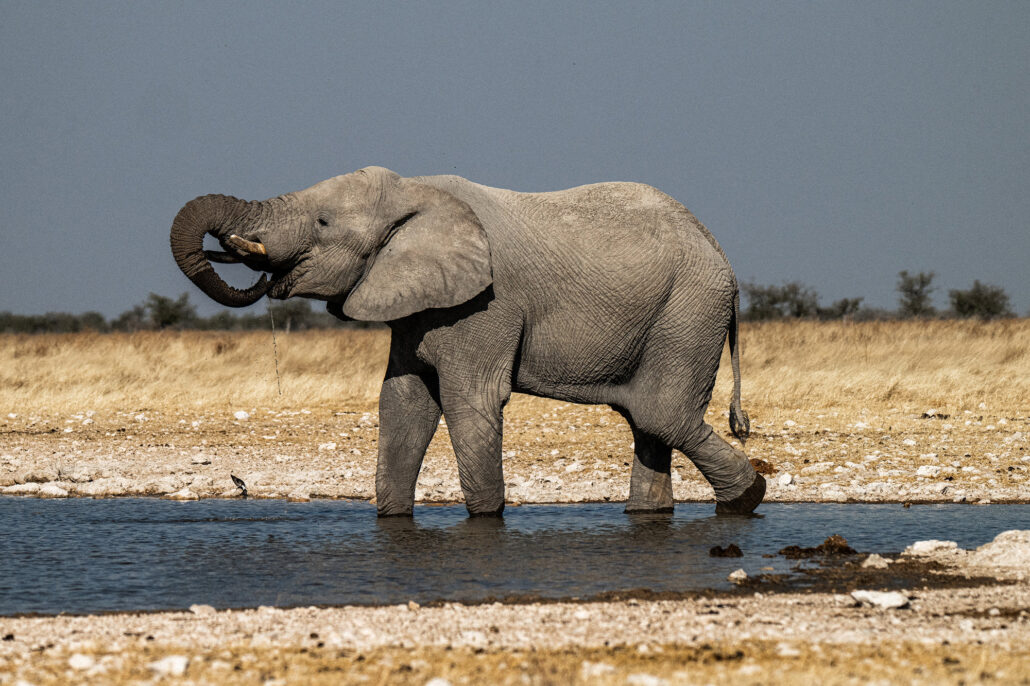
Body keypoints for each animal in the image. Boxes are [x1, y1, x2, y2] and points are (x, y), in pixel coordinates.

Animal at [170, 166, 765, 517]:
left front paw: (484, 521)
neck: (415, 191)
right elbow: (403, 403)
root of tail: (721, 252)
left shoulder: (485, 305)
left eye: (322, 222)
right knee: (647, 420)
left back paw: (748, 499)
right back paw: (650, 516)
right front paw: (391, 519)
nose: (247, 258)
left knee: (660, 414)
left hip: (688, 309)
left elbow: (467, 401)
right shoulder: (414, 306)